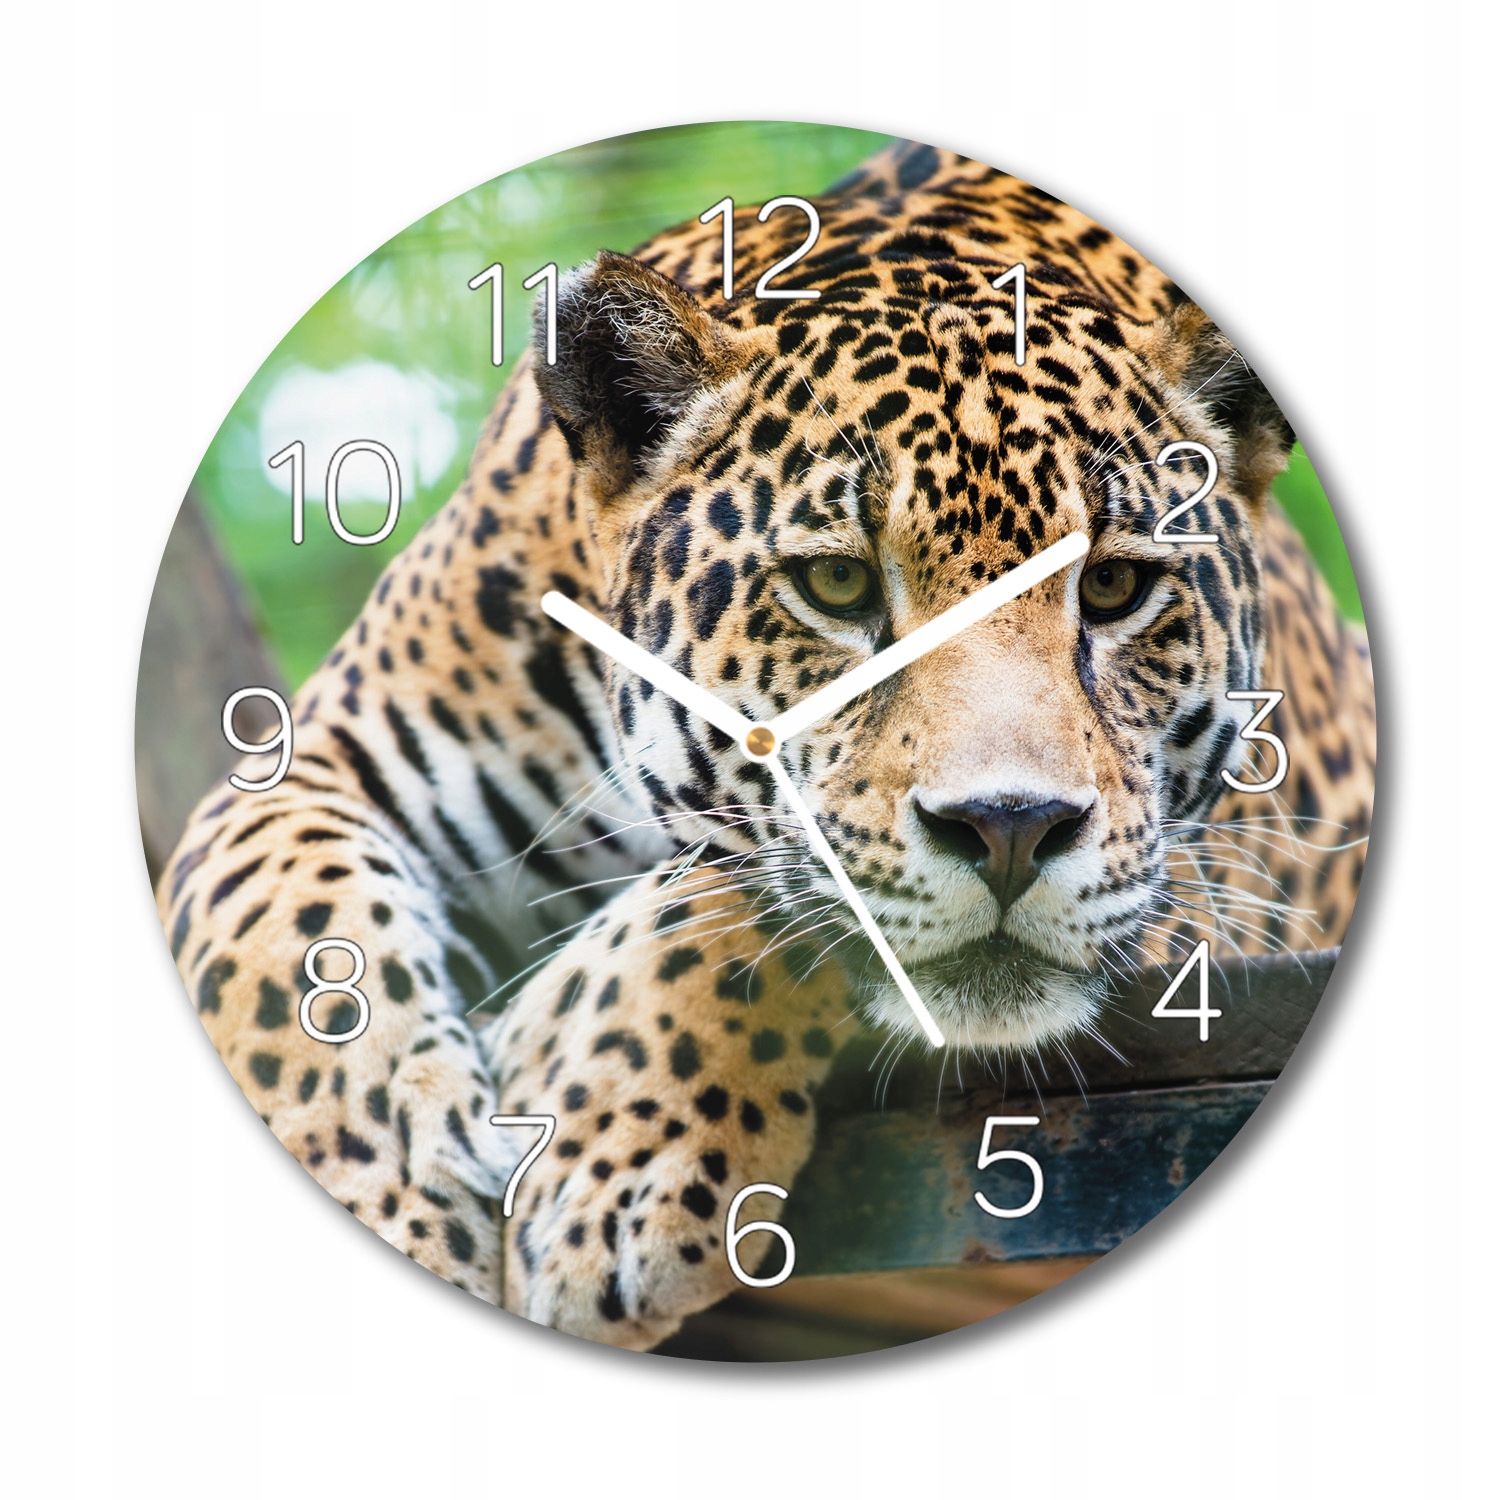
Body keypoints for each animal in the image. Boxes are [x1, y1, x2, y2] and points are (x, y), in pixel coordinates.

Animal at [155, 139, 1375, 1352]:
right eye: (835, 584)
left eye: (1117, 587)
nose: (1011, 830)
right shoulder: (313, 760)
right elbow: (281, 938)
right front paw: (390, 1185)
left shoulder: (1216, 874)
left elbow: (750, 888)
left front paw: (604, 1145)